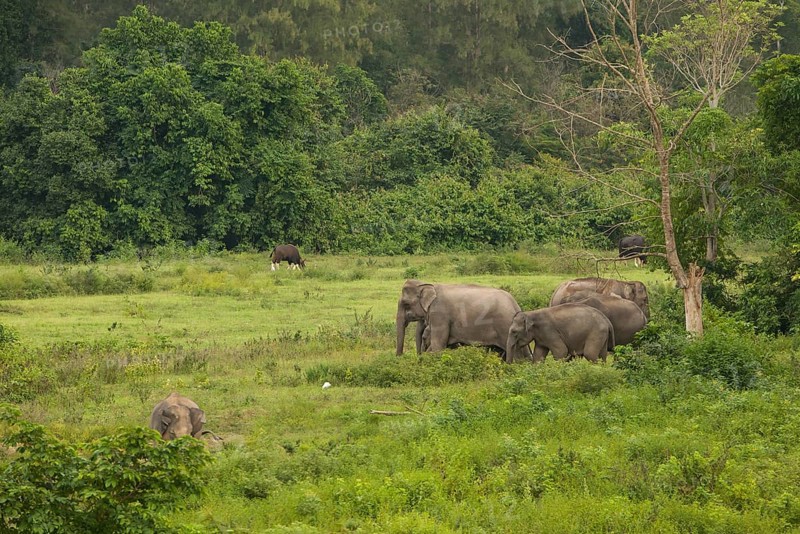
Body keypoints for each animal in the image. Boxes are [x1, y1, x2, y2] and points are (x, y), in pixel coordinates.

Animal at [396, 280, 532, 362]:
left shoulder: (439, 314)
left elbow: (438, 346)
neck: (428, 284)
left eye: (405, 303)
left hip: (504, 326)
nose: (399, 358)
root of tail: (515, 305)